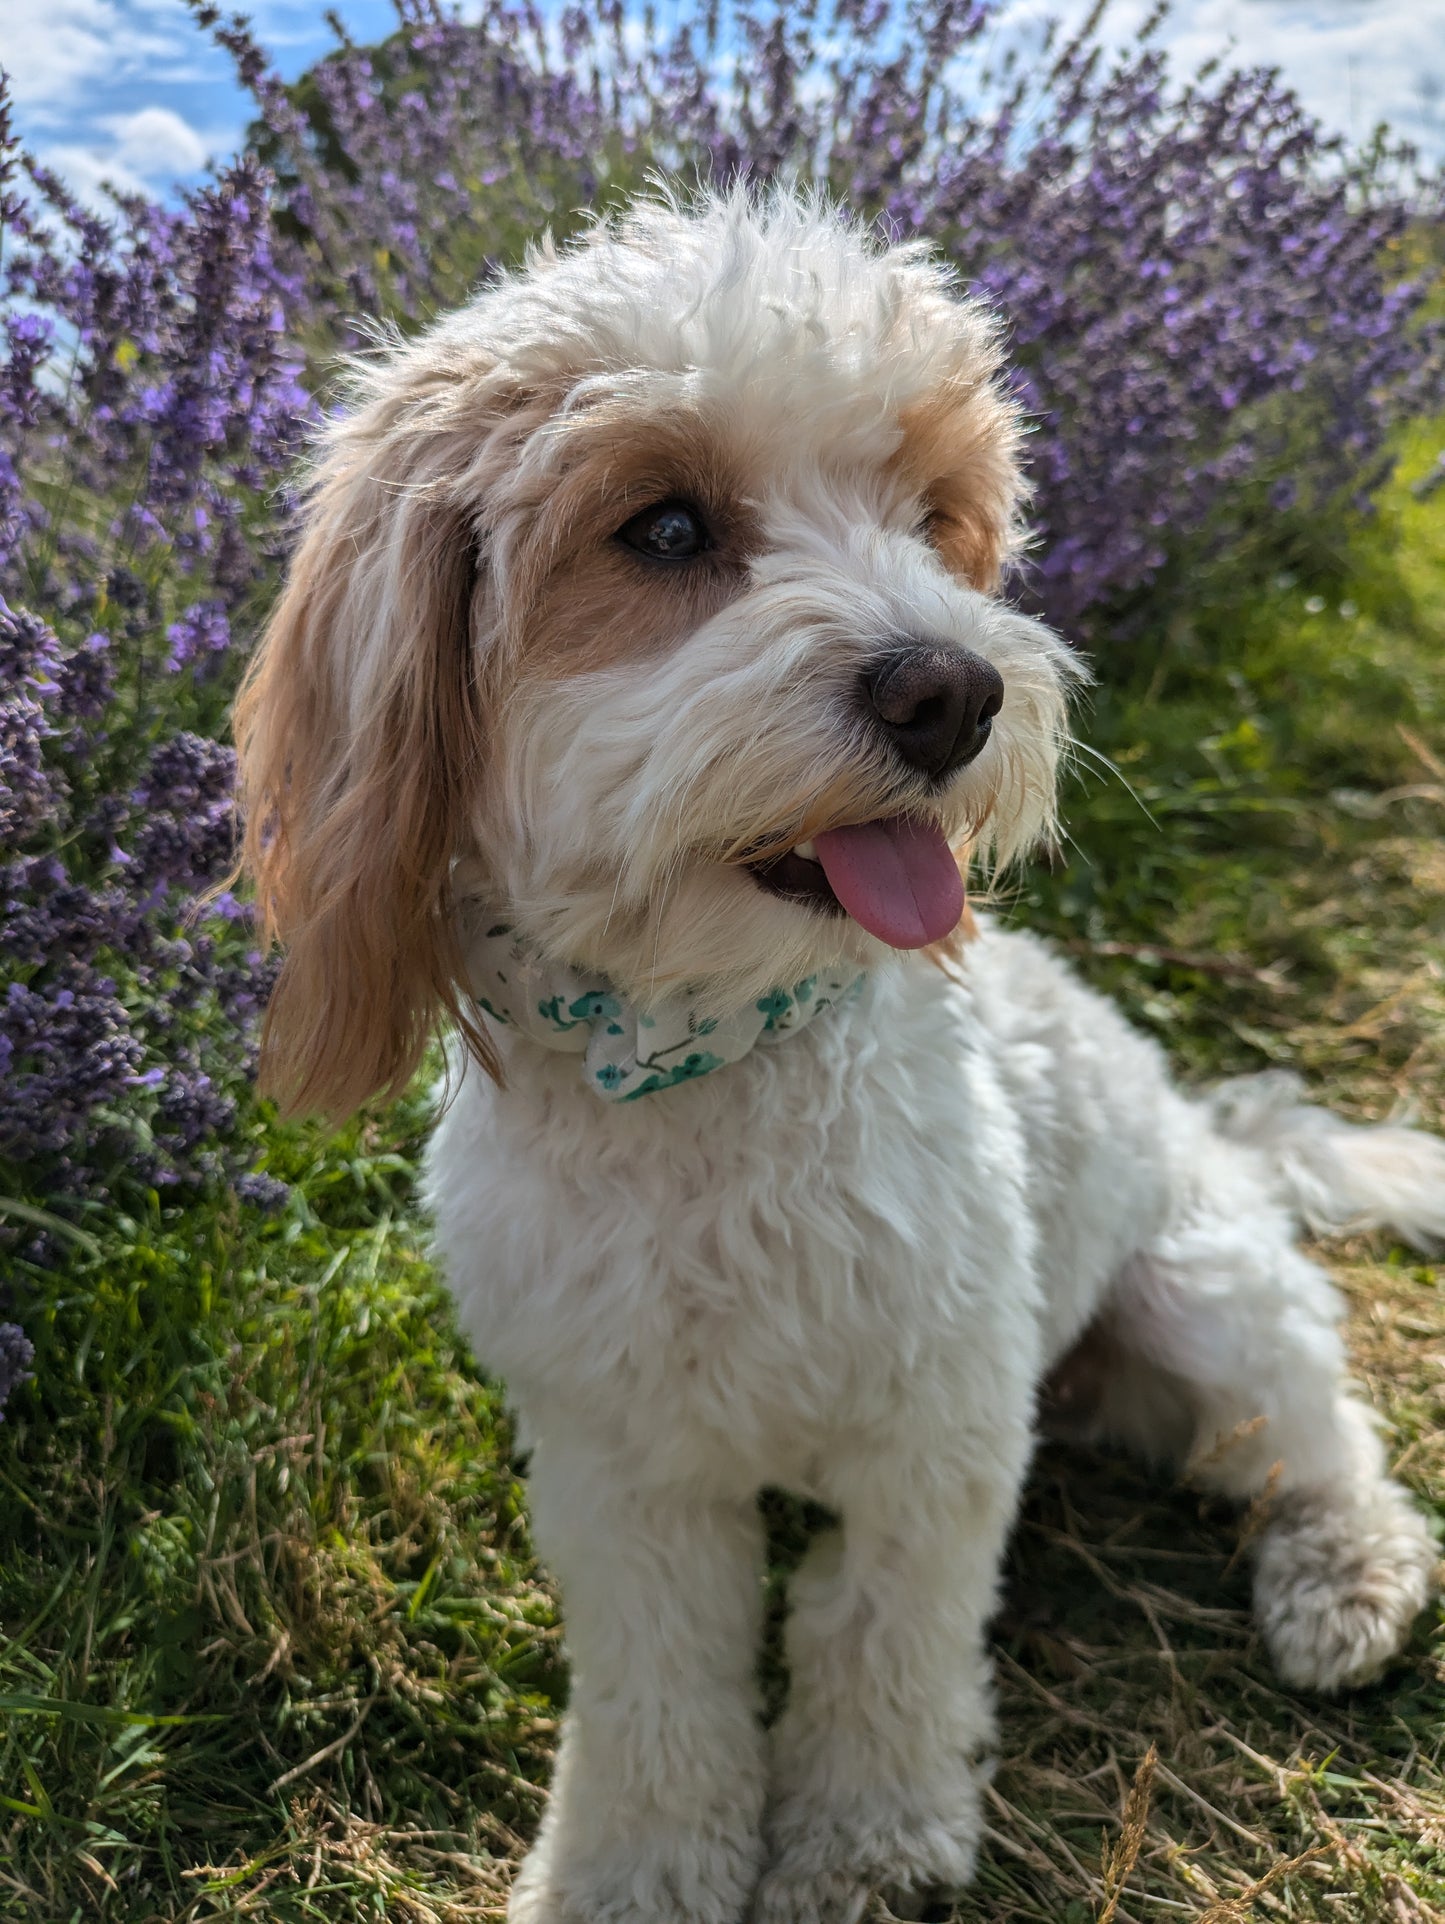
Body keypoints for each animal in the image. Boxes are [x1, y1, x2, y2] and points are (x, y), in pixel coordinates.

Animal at [237, 183, 1445, 1924]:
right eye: (665, 529)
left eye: (932, 517)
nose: (955, 690)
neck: (707, 1066)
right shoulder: (619, 1468)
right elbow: (659, 1690)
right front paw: (630, 1871)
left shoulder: (933, 1429)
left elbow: (877, 1643)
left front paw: (862, 1846)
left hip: (1202, 1296)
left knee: (1315, 1434)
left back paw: (1346, 1578)